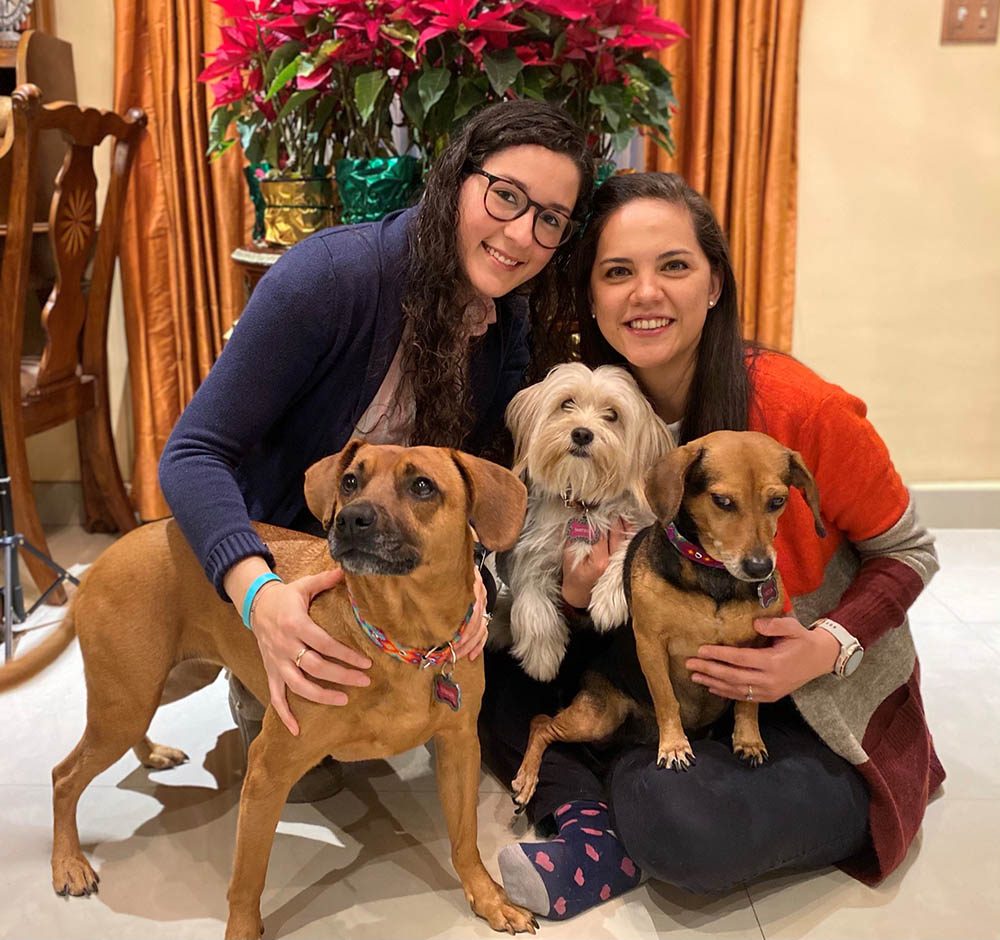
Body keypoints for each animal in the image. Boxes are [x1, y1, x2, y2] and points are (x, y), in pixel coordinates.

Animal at [0, 442, 540, 940]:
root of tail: (99, 561)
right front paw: (242, 929)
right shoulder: (267, 769)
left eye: (422, 486)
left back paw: (151, 754)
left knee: (118, 739)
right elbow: (247, 878)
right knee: (64, 775)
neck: (402, 639)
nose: (350, 520)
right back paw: (68, 863)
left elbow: (465, 840)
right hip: (126, 699)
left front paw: (488, 897)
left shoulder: (459, 747)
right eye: (350, 481)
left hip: (161, 684)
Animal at [498, 362, 672, 684]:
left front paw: (608, 601)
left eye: (612, 415)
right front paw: (542, 656)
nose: (581, 433)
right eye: (567, 403)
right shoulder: (535, 548)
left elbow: (629, 549)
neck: (584, 505)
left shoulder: (643, 526)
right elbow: (531, 599)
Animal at [512, 434, 824, 808]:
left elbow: (748, 701)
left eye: (778, 501)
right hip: (597, 717)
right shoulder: (651, 643)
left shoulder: (757, 648)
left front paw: (749, 741)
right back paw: (526, 779)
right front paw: (674, 746)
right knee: (541, 723)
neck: (713, 576)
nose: (760, 568)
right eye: (722, 501)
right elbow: (666, 698)